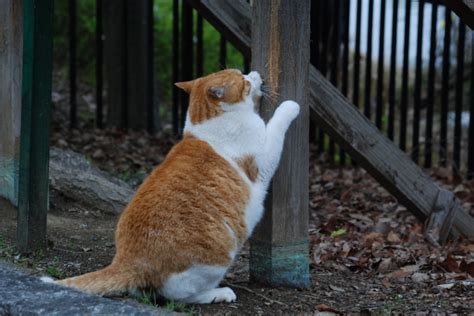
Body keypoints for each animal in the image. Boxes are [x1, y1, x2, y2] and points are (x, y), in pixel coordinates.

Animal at [41, 69, 300, 304]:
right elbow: (277, 125)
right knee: (180, 295)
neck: (209, 122)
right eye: (244, 81)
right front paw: (291, 106)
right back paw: (219, 293)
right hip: (218, 254)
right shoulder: (263, 162)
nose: (254, 74)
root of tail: (126, 261)